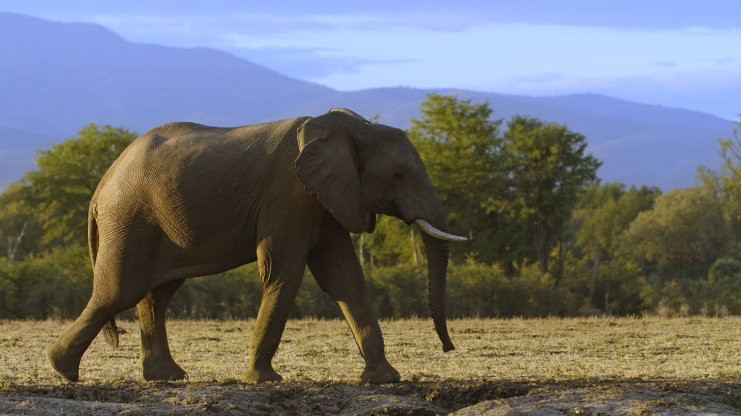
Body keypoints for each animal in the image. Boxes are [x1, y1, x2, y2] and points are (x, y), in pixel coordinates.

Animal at [44, 107, 462, 384]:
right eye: (399, 175)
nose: (448, 349)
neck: (351, 128)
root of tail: (102, 183)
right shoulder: (288, 195)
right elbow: (283, 271)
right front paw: (263, 381)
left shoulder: (326, 199)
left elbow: (344, 278)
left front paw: (386, 379)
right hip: (130, 219)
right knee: (118, 292)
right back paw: (62, 370)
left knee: (154, 295)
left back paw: (167, 377)